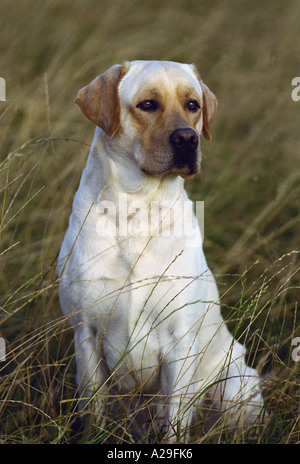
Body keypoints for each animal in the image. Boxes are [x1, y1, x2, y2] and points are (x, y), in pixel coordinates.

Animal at [57, 61, 266, 442]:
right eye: (148, 105)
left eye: (193, 105)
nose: (188, 139)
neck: (137, 210)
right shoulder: (86, 335)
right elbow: (94, 410)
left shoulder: (179, 344)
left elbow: (175, 422)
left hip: (234, 386)